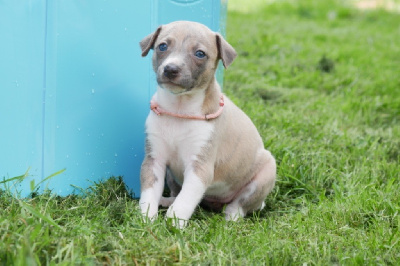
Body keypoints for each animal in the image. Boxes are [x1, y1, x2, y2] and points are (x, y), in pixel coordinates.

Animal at [138, 20, 276, 227]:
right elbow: (150, 191)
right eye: (162, 46)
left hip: (266, 173)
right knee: (177, 192)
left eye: (200, 53)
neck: (179, 109)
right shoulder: (154, 160)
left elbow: (186, 199)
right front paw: (146, 218)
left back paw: (231, 216)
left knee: (241, 204)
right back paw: (167, 200)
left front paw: (174, 222)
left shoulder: (200, 168)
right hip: (171, 176)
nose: (170, 69)